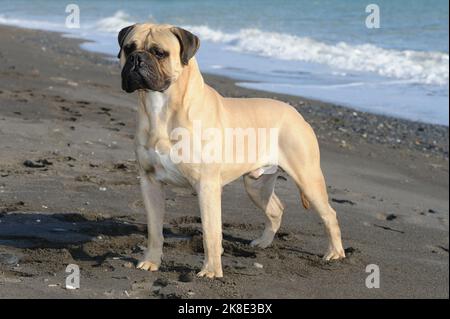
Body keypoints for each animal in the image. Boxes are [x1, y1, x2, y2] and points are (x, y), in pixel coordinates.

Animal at [118, 23, 346, 278]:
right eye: (128, 48)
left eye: (159, 53)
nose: (136, 59)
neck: (161, 108)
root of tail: (297, 114)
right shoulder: (150, 182)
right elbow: (154, 230)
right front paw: (151, 261)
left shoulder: (206, 186)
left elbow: (210, 233)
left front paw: (211, 271)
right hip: (256, 185)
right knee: (275, 209)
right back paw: (263, 243)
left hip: (307, 177)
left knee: (329, 214)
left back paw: (335, 253)